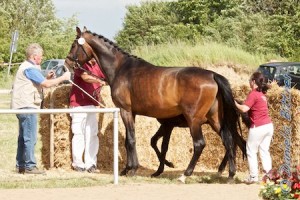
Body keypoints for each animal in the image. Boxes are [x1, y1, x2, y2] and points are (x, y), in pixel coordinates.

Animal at [65, 27, 246, 183]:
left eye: (73, 45)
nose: (67, 63)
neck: (121, 69)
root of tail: (213, 75)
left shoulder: (125, 110)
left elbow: (131, 140)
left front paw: (132, 169)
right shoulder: (134, 114)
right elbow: (132, 140)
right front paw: (128, 169)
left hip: (194, 120)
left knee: (200, 144)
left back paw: (185, 175)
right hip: (215, 119)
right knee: (229, 141)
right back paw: (230, 174)